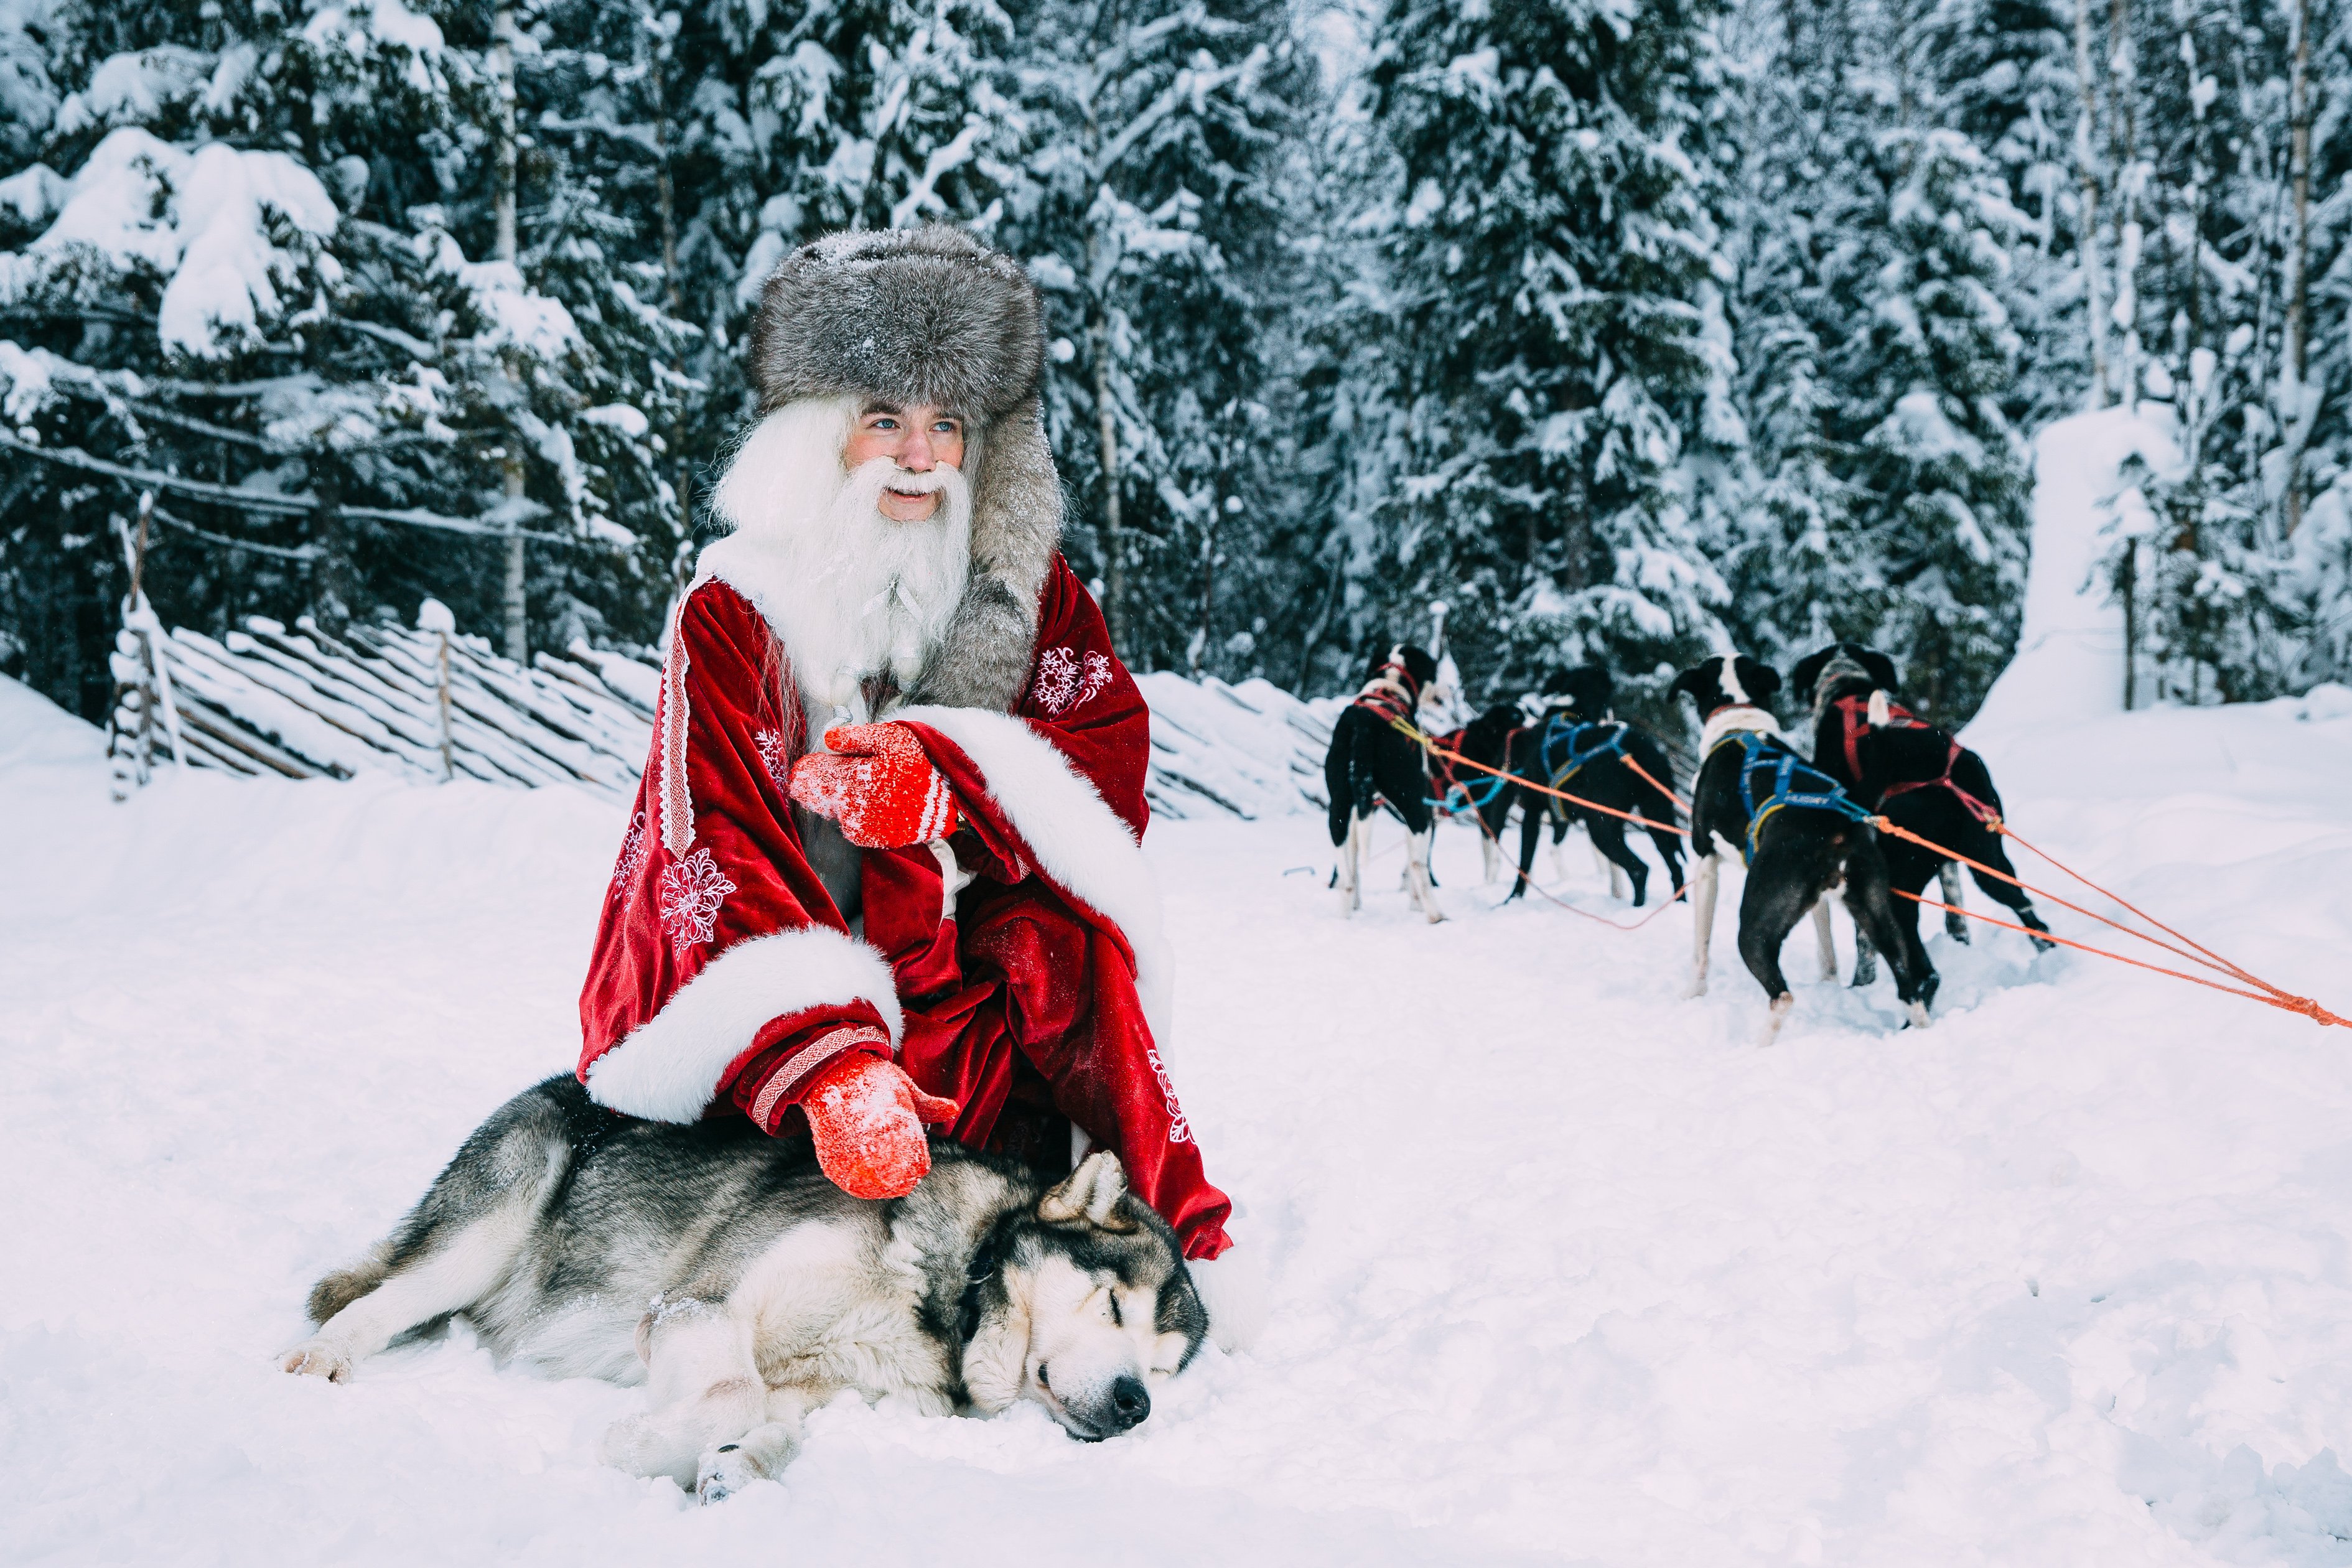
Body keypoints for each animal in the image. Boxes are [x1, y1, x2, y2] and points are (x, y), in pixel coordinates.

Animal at [279, 1071, 1213, 1504]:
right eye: (1115, 1305)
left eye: (1164, 1368)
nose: (1136, 1404)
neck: (948, 1297)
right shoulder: (700, 1305)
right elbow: (732, 1388)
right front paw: (640, 1446)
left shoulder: (825, 1389)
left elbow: (774, 1423)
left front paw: (737, 1466)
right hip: (484, 1234)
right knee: (376, 1302)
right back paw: (322, 1358)